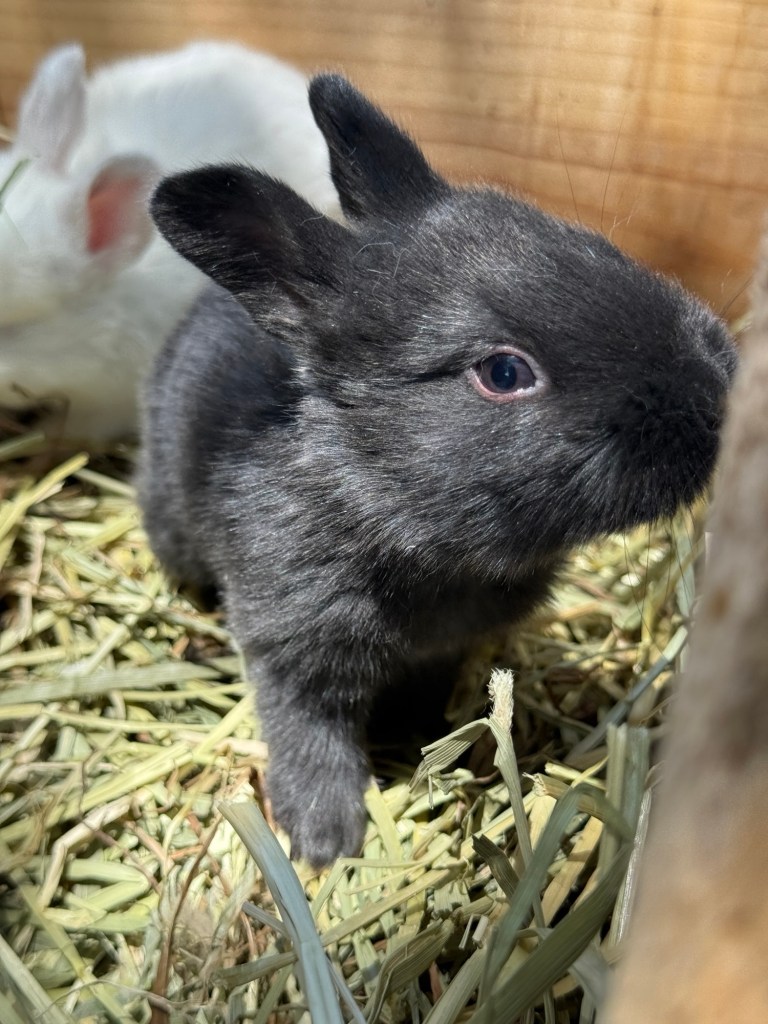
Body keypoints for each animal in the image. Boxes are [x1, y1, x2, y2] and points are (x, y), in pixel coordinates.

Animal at [140, 73, 737, 868]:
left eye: (595, 245)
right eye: (504, 372)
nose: (716, 391)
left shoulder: (439, 653)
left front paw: (421, 742)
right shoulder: (293, 653)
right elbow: (311, 742)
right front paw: (325, 843)